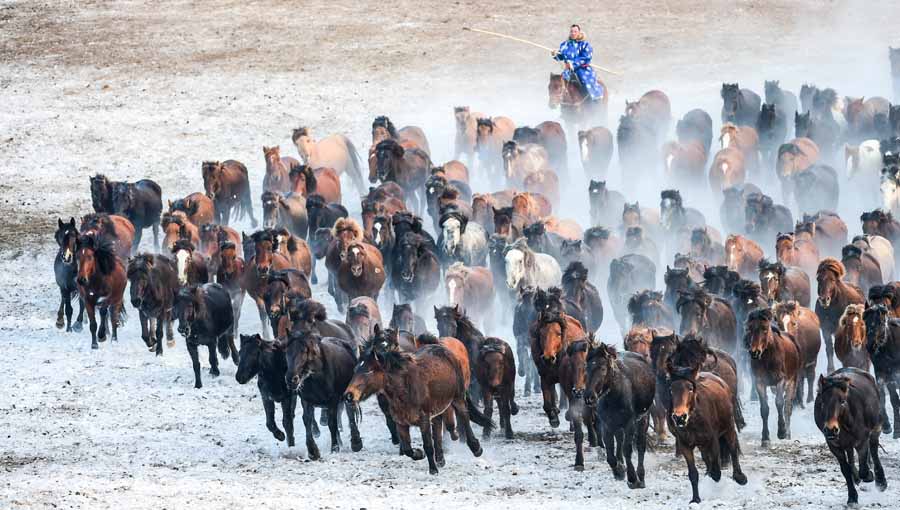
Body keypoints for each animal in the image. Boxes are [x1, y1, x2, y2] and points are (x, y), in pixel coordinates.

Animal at [743, 308, 800, 445]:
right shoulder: (759, 382)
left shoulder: (781, 380)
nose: (754, 352)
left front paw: (782, 431)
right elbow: (764, 409)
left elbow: (779, 403)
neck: (767, 358)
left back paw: (788, 434)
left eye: (764, 328)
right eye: (749, 328)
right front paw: (765, 438)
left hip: (793, 381)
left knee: (788, 407)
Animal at [815, 368, 888, 505]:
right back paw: (857, 478)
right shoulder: (834, 446)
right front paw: (852, 498)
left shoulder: (862, 440)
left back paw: (880, 481)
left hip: (876, 428)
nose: (831, 430)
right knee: (851, 454)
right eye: (822, 402)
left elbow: (864, 468)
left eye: (842, 401)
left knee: (874, 449)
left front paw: (869, 476)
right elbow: (845, 470)